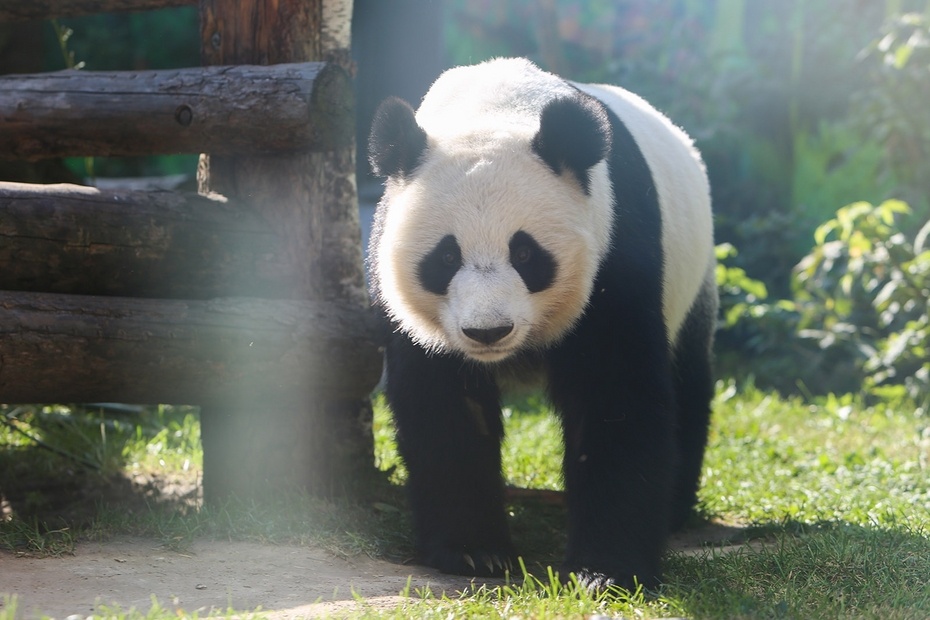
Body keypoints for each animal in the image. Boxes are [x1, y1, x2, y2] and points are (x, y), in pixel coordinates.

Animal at [366, 58, 716, 592]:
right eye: (445, 257)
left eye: (526, 254)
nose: (488, 331)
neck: (493, 107)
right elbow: (445, 406)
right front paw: (475, 551)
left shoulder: (614, 252)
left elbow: (616, 396)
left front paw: (606, 569)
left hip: (690, 282)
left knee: (688, 381)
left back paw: (675, 508)